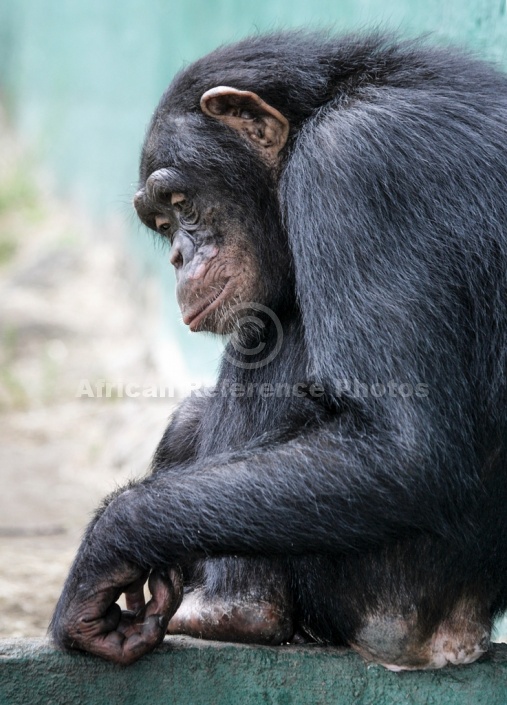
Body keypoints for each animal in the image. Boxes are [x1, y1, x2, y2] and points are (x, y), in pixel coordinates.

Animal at [50, 33, 507, 668]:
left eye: (181, 200)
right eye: (162, 221)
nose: (178, 257)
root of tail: (458, 635)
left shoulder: (347, 168)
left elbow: (401, 447)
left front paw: (105, 549)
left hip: (386, 598)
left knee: (270, 331)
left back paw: (232, 608)